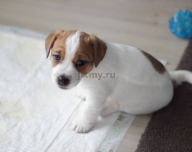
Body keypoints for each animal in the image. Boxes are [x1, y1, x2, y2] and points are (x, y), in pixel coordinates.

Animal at [44, 29, 192, 133]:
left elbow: (89, 110)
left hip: (135, 105)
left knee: (118, 106)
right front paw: (82, 92)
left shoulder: (97, 95)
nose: (62, 80)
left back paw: (105, 108)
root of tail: (170, 79)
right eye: (56, 57)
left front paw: (82, 123)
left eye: (81, 62)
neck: (93, 68)